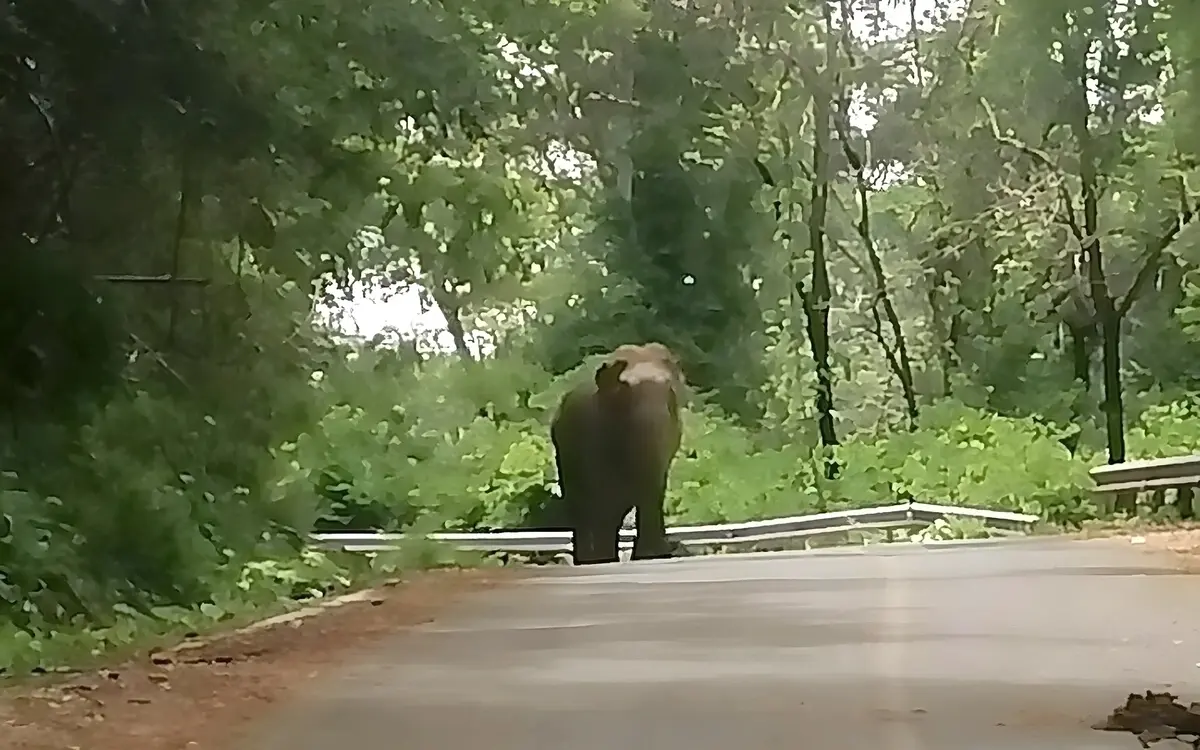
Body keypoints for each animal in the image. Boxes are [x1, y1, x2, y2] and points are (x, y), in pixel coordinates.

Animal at [550, 342, 686, 565]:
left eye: (670, 394)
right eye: (624, 394)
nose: (671, 548)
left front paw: (649, 556)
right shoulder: (593, 440)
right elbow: (604, 503)